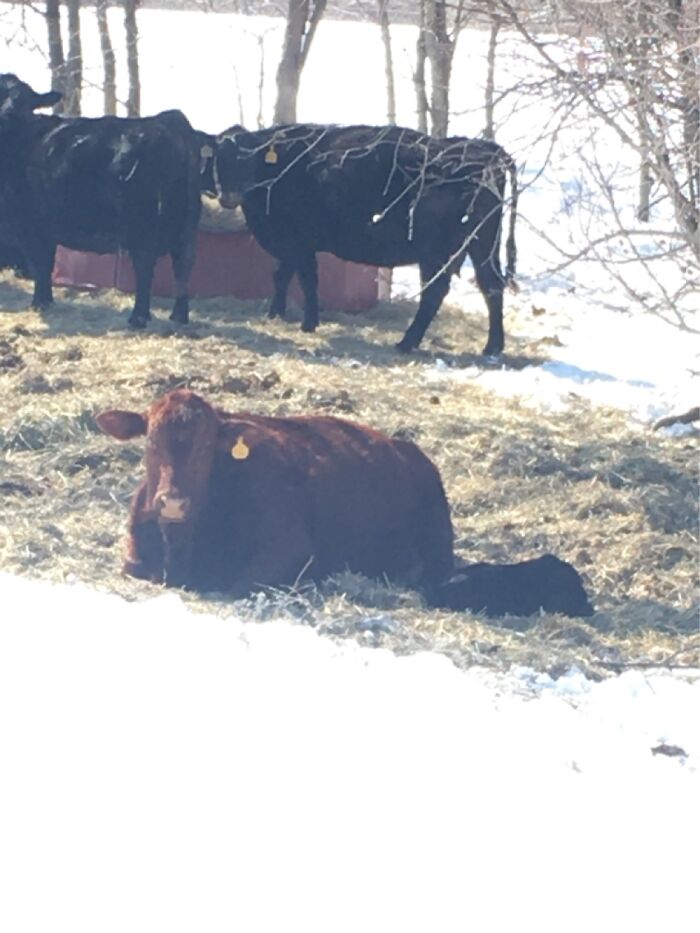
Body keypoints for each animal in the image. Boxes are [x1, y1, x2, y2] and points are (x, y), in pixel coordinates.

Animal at [0, 73, 202, 328]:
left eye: (25, 100)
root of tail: (169, 120)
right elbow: (47, 261)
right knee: (183, 261)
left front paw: (40, 303)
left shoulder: (28, 222)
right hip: (186, 222)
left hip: (141, 221)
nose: (8, 113)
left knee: (145, 264)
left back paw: (138, 317)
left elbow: (40, 263)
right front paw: (46, 301)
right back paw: (179, 316)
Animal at [97, 390, 594, 618]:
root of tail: (409, 451)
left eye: (205, 448)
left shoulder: (288, 550)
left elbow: (240, 583)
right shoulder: (133, 557)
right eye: (150, 443)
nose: (173, 502)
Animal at [202, 123, 518, 357]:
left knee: (436, 291)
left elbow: (307, 279)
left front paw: (308, 323)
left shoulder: (301, 241)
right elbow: (280, 275)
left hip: (436, 250)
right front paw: (275, 314)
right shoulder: (286, 240)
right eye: (219, 158)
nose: (229, 196)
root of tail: (483, 148)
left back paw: (407, 342)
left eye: (249, 158)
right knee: (490, 285)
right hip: (481, 244)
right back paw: (492, 347)